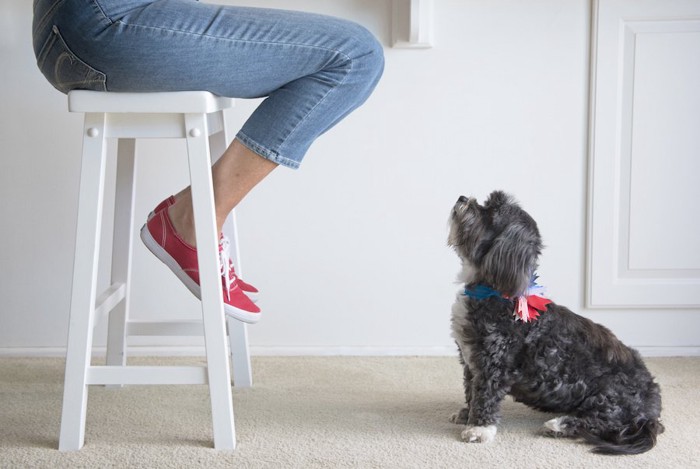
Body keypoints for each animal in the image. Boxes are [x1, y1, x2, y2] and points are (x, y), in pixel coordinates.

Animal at [448, 190, 660, 454]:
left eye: (490, 212)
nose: (462, 198)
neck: (496, 291)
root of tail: (651, 407)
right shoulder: (470, 361)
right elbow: (471, 389)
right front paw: (467, 414)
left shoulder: (494, 362)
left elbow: (485, 394)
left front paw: (479, 428)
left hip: (609, 394)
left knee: (601, 421)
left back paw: (559, 425)